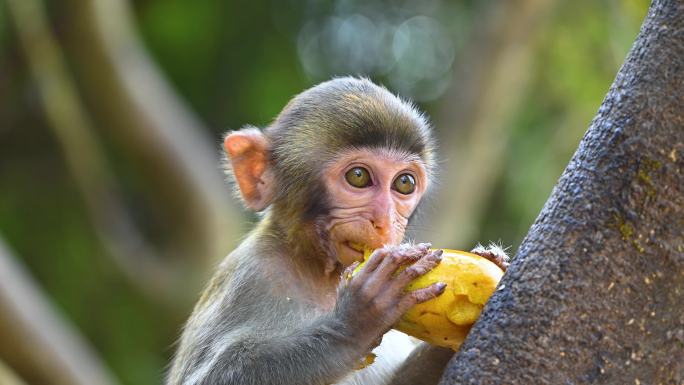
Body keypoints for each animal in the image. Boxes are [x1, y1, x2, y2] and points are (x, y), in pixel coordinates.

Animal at [166, 76, 508, 384]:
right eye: (358, 177)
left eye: (404, 183)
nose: (385, 220)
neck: (321, 274)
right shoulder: (250, 277)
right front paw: (354, 325)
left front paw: (494, 259)